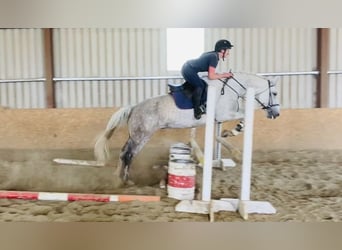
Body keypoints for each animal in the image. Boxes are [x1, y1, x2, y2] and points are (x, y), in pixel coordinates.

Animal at [95, 72, 280, 184]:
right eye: (275, 93)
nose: (276, 114)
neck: (229, 90)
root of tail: (134, 107)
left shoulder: (219, 118)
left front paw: (227, 135)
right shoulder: (224, 115)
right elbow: (243, 117)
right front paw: (233, 139)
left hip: (134, 136)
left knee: (123, 153)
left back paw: (117, 177)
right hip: (142, 136)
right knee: (128, 155)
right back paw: (126, 181)